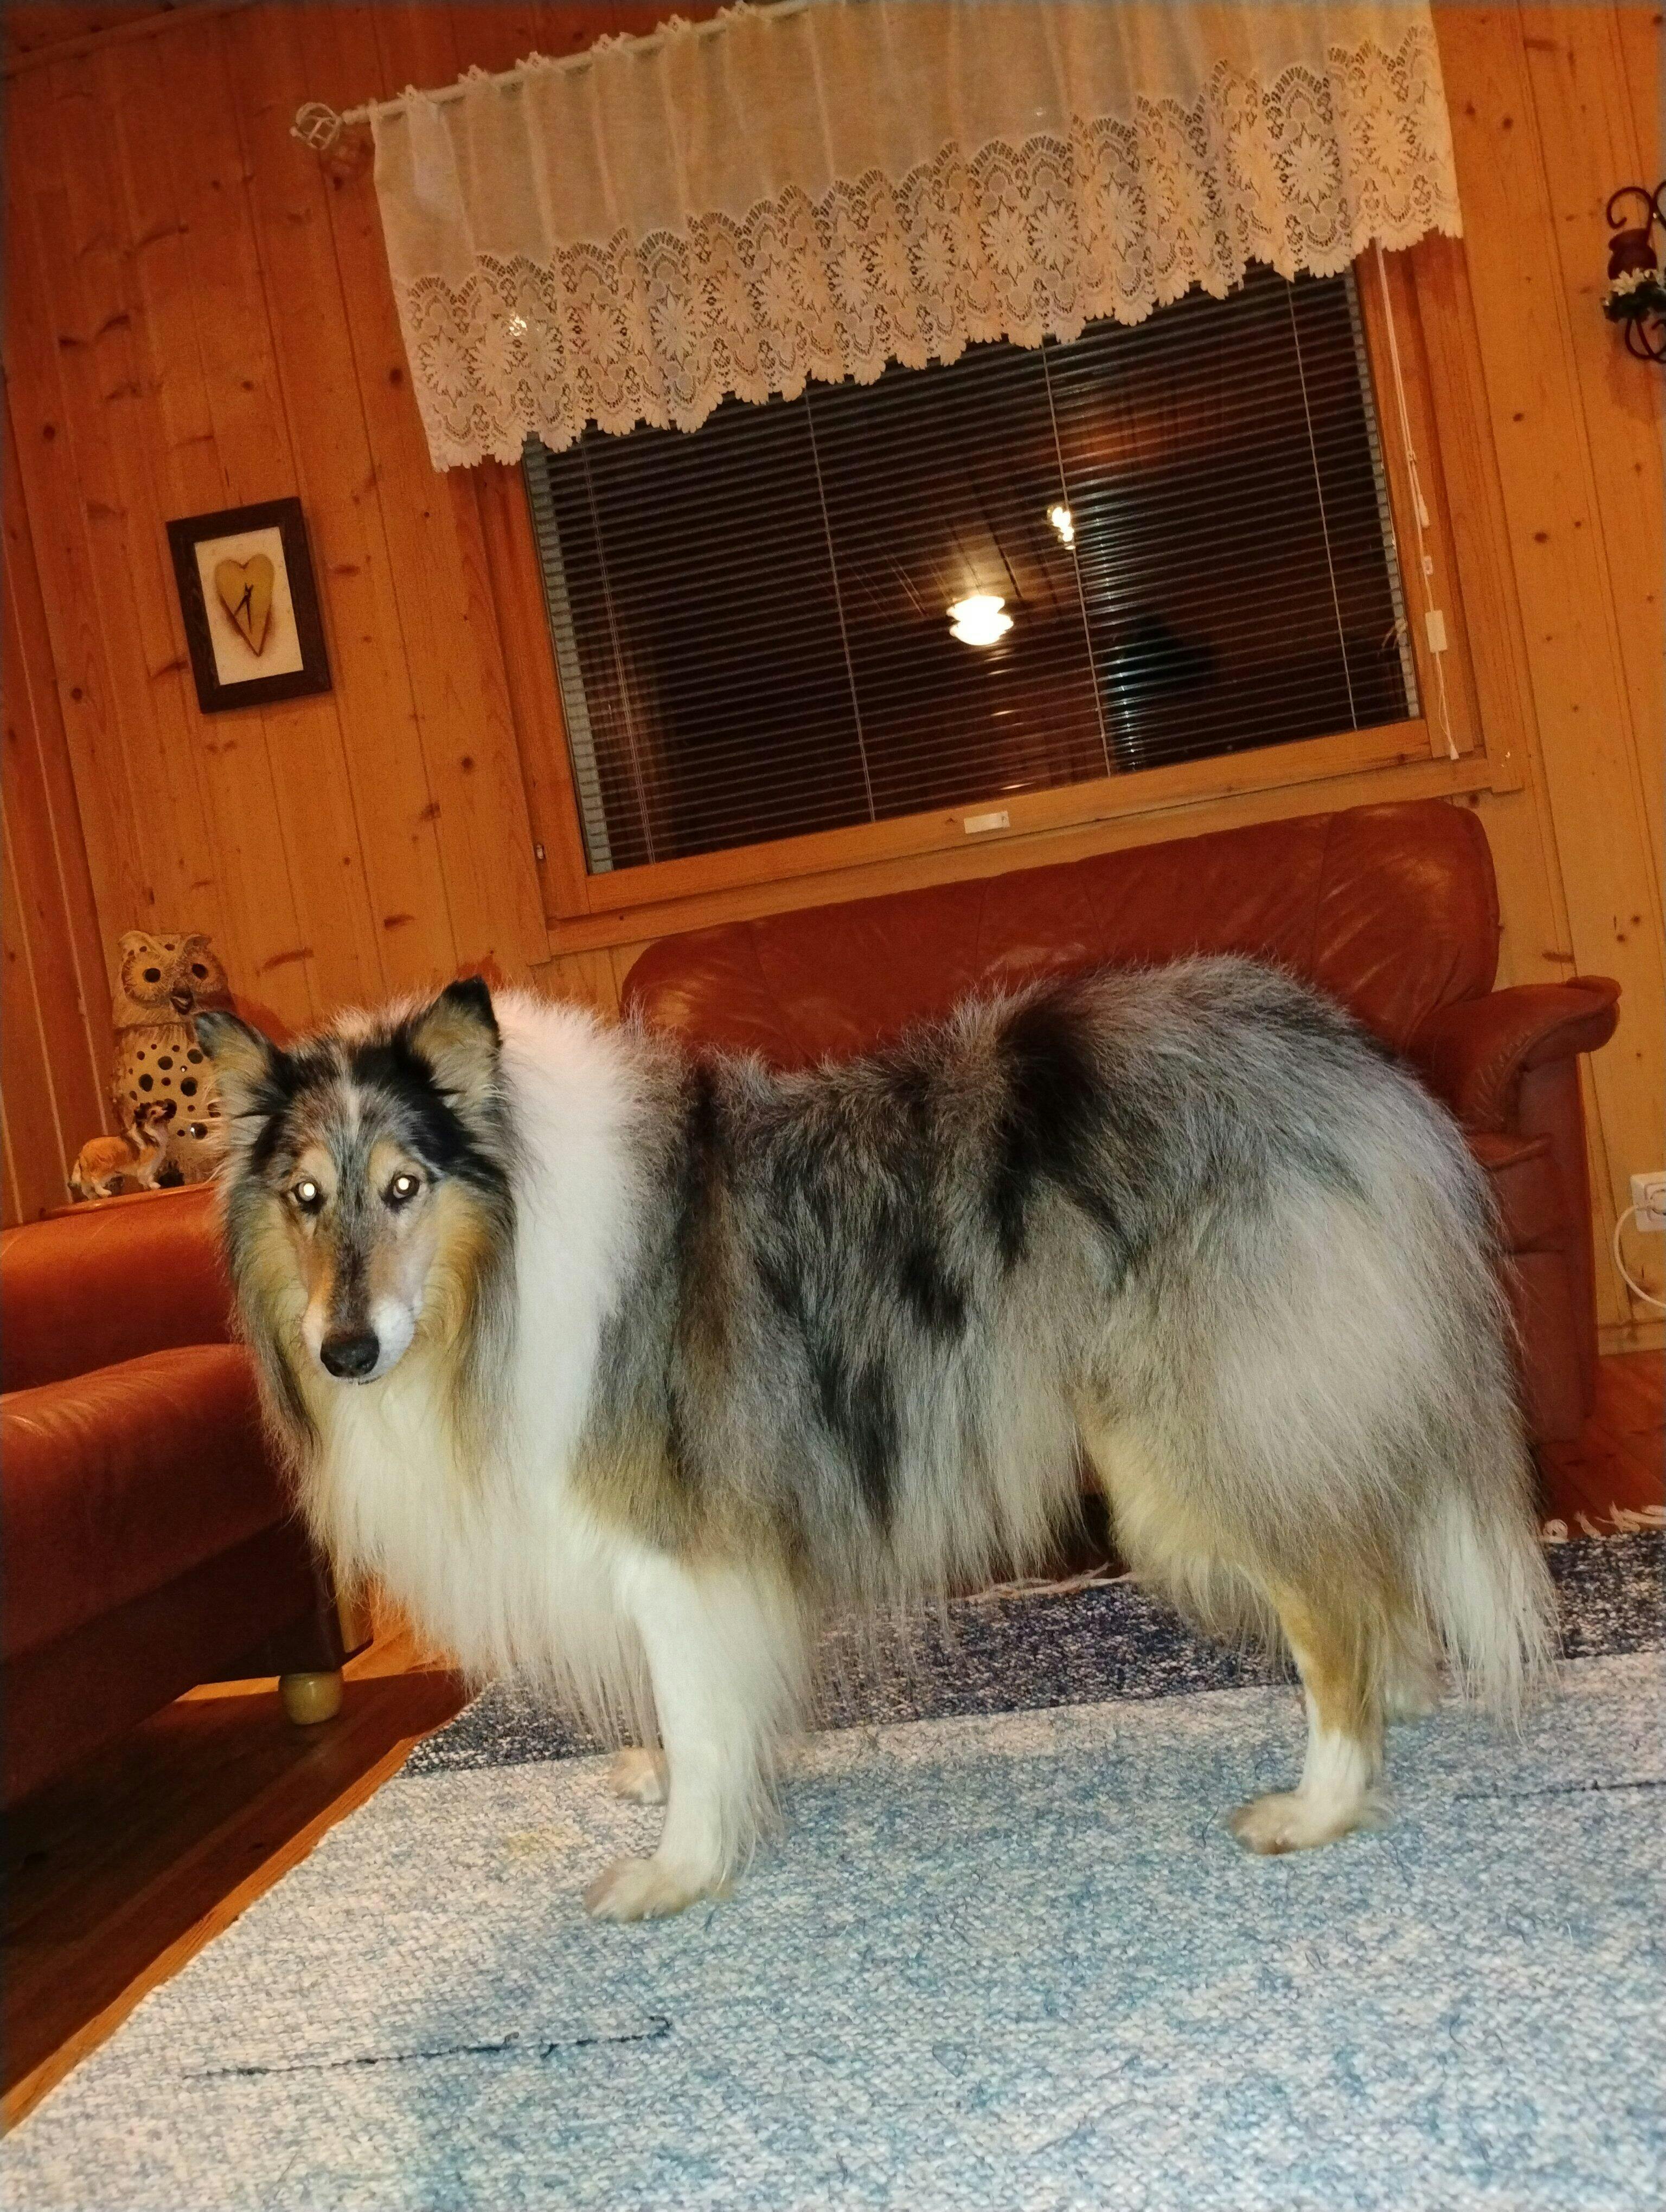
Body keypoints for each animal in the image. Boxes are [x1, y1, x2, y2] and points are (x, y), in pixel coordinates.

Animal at [198, 958, 1555, 1921]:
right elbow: (700, 1712)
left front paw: (678, 1869)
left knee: (1334, 1599)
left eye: (404, 1187)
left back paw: (1320, 1801)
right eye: (304, 1197)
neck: (508, 1261)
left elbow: (701, 1708)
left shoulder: (676, 1549)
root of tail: (1346, 1059)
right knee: (1368, 1562)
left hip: (1194, 1441)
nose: (345, 1352)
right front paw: (670, 1783)